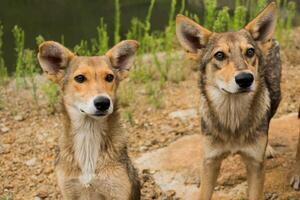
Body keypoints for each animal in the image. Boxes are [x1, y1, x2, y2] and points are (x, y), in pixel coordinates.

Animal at [37, 39, 141, 199]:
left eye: (109, 77)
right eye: (80, 78)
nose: (103, 103)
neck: (88, 136)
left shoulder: (118, 191)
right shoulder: (69, 191)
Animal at [176, 1, 282, 200]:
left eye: (250, 52)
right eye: (219, 55)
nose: (245, 79)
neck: (232, 119)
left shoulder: (255, 165)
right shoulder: (210, 162)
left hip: (276, 96)